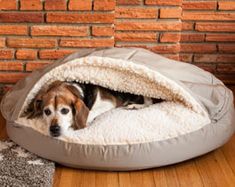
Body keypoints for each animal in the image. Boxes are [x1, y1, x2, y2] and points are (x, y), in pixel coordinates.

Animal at [26, 80, 162, 137]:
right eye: (47, 111)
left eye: (65, 110)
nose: (54, 129)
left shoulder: (108, 103)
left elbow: (91, 112)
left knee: (149, 103)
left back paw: (135, 106)